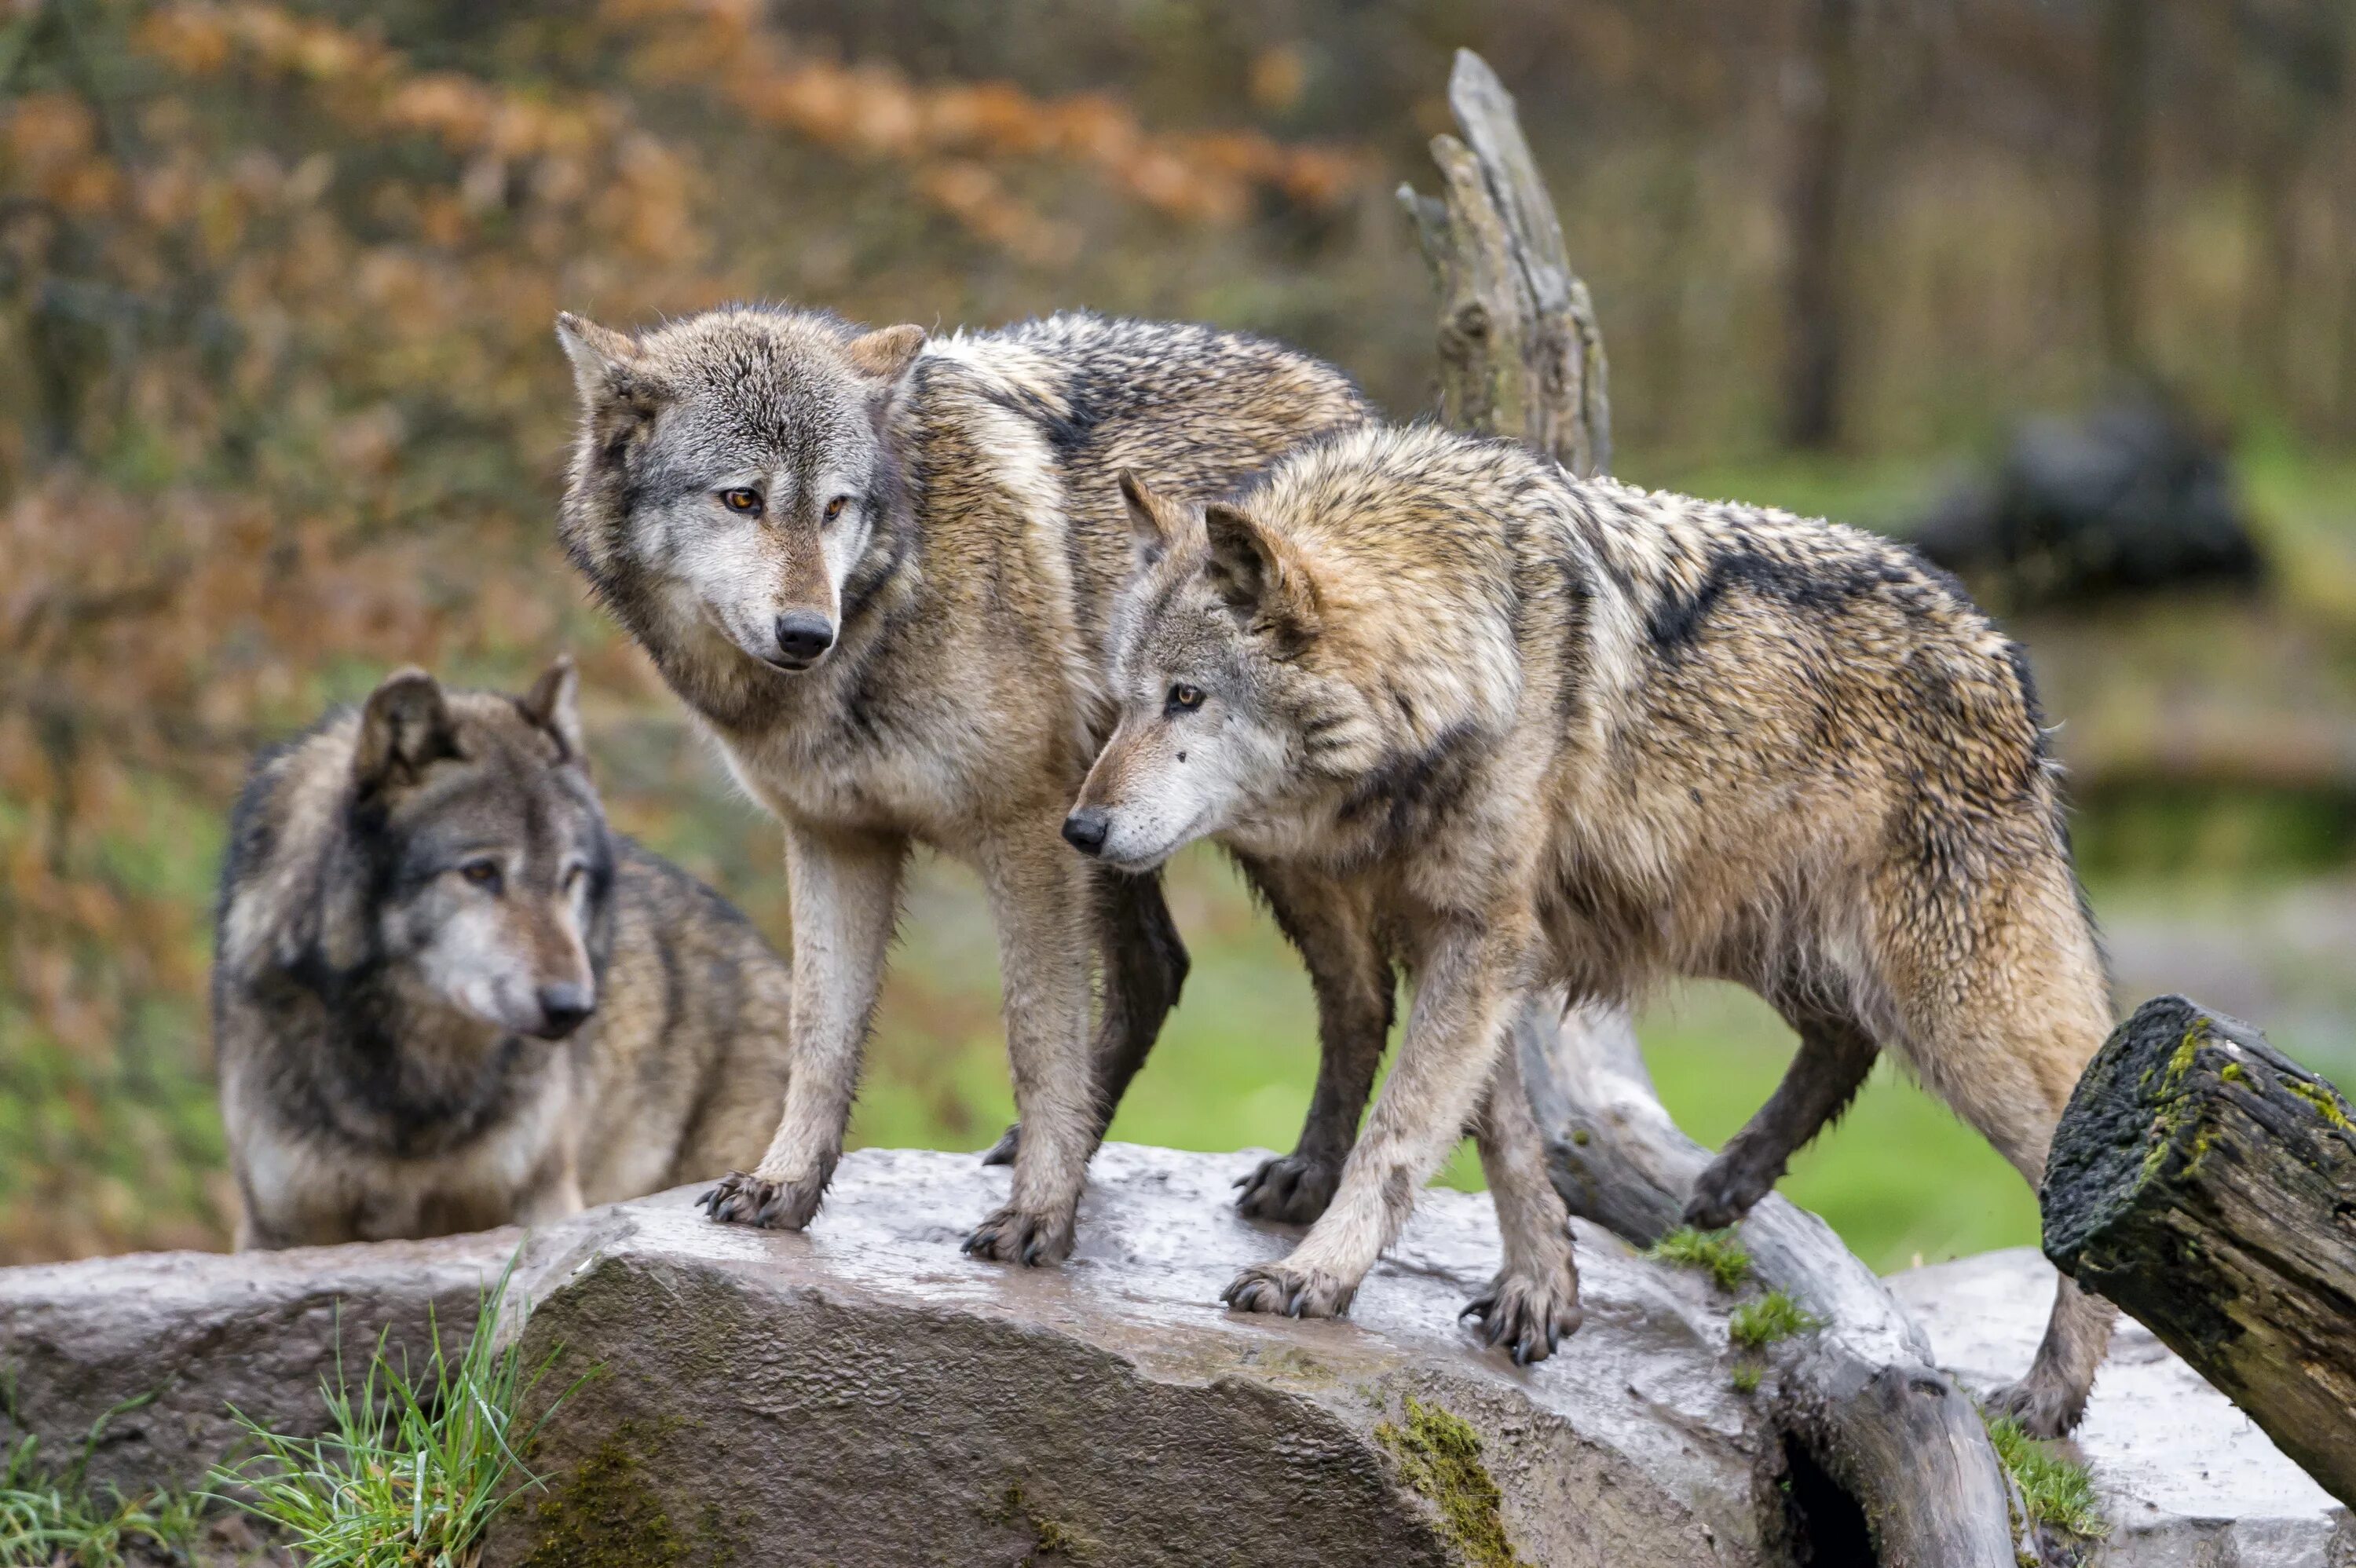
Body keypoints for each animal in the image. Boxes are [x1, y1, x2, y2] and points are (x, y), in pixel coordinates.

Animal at [210, 654, 787, 1243]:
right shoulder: (283, 1227)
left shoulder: (542, 1201)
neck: (419, 1085)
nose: (573, 1008)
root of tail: (770, 961)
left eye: (570, 876)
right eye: (481, 872)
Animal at [549, 301, 1376, 1262]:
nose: (808, 632)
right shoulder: (835, 838)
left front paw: (1039, 1217)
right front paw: (784, 1187)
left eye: (835, 506)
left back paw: (1305, 1178)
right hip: (1118, 837)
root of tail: (1348, 398)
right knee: (1158, 970)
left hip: (1263, 838)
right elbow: (819, 1036)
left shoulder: (1028, 834)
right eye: (742, 498)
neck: (890, 599)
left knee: (1358, 995)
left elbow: (1035, 1035)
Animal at [1070, 423, 2120, 1431]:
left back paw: (2052, 1390)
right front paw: (1540, 1286)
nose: (1079, 829)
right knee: (1843, 1037)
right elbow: (1503, 1133)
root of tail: (2006, 655)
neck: (1471, 650)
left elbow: (1402, 1131)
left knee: (2071, 1112)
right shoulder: (1458, 937)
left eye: (1186, 697)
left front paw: (1312, 1275)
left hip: (1946, 1006)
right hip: (1750, 927)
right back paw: (1729, 1182)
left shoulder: (1483, 939)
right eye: (1123, 699)